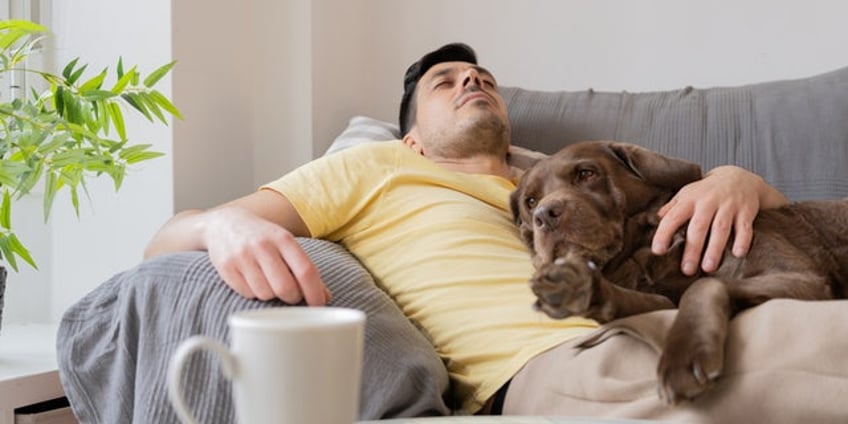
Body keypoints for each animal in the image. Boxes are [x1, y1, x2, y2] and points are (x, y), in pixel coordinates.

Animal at [510, 140, 848, 404]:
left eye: (586, 173)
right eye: (531, 201)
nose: (545, 215)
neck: (643, 249)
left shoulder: (803, 278)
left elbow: (702, 286)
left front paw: (686, 355)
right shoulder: (659, 299)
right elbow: (641, 301)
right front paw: (580, 288)